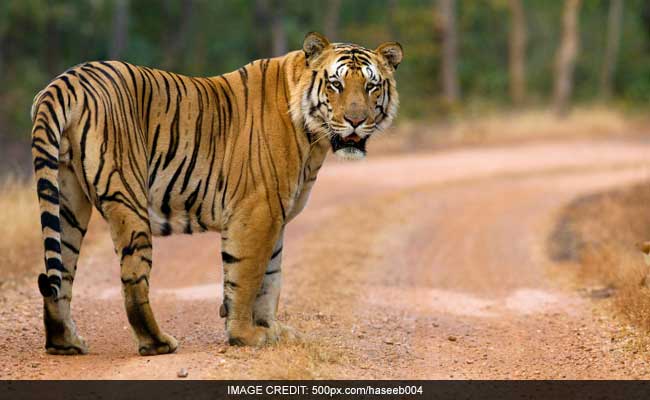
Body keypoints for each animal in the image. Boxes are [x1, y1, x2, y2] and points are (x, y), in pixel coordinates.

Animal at [33, 32, 402, 356]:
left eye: (371, 86)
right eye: (335, 84)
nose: (355, 121)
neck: (314, 140)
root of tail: (66, 80)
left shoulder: (276, 216)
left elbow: (271, 279)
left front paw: (271, 329)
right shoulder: (257, 212)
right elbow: (247, 276)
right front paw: (245, 336)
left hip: (68, 201)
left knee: (61, 274)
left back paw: (65, 343)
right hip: (127, 197)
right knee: (133, 279)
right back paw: (158, 343)